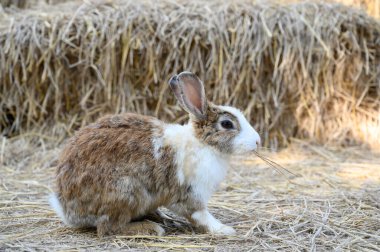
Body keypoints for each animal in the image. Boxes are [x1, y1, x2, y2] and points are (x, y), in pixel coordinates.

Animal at [49, 71, 262, 236]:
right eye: (227, 124)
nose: (258, 141)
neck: (202, 143)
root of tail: (66, 209)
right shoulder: (191, 194)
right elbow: (201, 215)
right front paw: (224, 229)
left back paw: (163, 218)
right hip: (127, 191)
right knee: (107, 228)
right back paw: (151, 228)